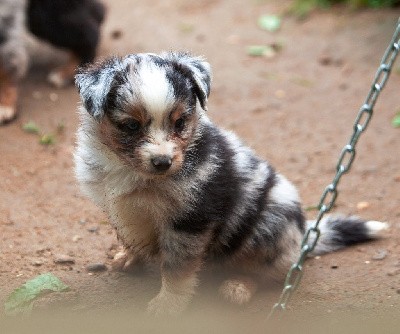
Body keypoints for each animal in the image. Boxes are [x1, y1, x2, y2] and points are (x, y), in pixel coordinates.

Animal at [74, 52, 388, 316]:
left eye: (180, 123)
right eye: (131, 126)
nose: (163, 162)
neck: (133, 172)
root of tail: (303, 237)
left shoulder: (190, 220)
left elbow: (176, 269)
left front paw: (167, 305)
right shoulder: (119, 208)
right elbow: (128, 235)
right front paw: (129, 258)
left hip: (269, 228)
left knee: (272, 272)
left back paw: (238, 287)